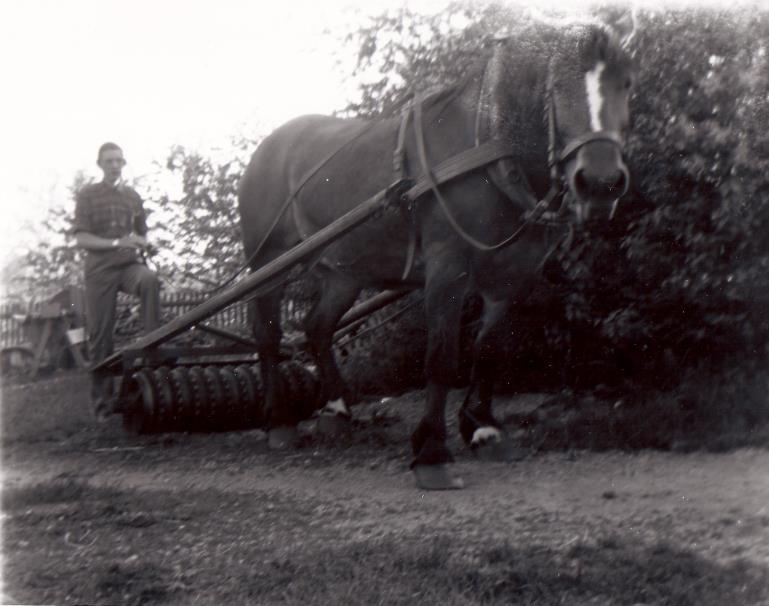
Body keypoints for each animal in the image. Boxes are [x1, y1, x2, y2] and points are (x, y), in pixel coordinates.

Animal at [238, 19, 636, 492]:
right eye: (557, 87)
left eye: (627, 84)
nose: (600, 182)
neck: (491, 152)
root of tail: (268, 145)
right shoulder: (448, 270)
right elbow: (442, 357)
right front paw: (432, 452)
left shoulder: (514, 276)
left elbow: (489, 350)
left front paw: (484, 429)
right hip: (268, 262)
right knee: (267, 333)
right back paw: (279, 421)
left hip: (346, 271)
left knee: (317, 327)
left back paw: (335, 412)